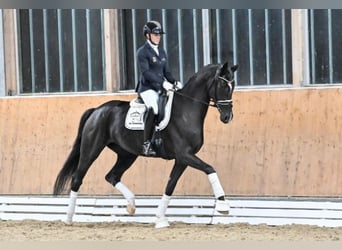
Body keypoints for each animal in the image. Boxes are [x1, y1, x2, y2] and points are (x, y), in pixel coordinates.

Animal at [53, 62, 238, 229]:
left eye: (233, 85)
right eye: (223, 84)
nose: (227, 117)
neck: (186, 111)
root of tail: (97, 110)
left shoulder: (182, 159)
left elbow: (170, 186)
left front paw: (160, 219)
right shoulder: (185, 155)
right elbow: (210, 168)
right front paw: (223, 205)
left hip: (127, 154)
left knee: (112, 176)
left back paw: (131, 205)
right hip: (91, 149)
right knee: (77, 177)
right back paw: (68, 219)